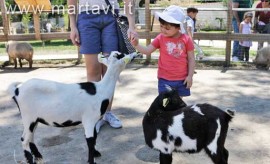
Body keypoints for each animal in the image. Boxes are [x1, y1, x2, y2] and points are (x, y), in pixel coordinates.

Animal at [7, 51, 136, 164]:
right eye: (120, 55)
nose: (134, 54)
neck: (101, 89)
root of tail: (17, 90)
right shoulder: (89, 119)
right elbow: (90, 140)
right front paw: (92, 160)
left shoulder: (93, 121)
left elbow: (94, 137)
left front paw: (96, 153)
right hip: (28, 117)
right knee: (24, 139)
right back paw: (31, 160)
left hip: (35, 118)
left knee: (31, 137)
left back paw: (39, 157)